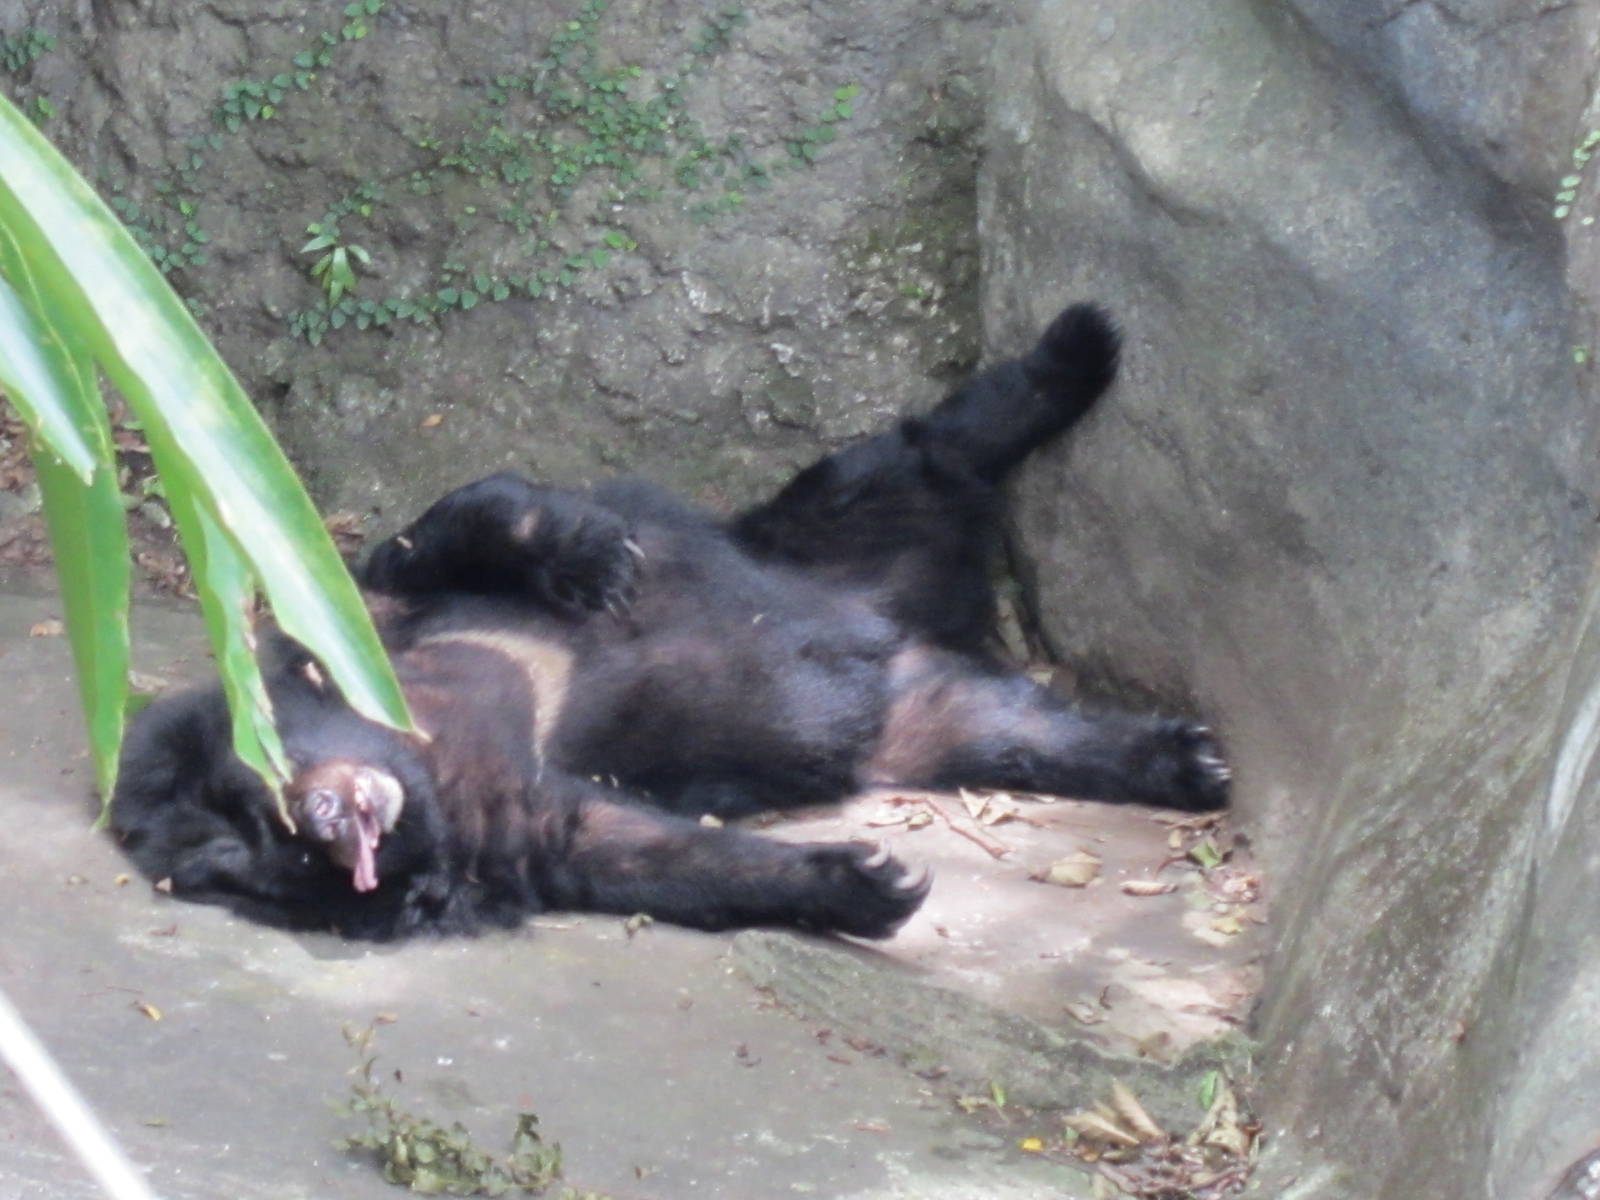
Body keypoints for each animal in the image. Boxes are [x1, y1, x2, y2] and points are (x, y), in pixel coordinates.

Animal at [108, 303, 1228, 942]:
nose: (338, 825)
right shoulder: (497, 819)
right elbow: (619, 847)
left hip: (825, 535)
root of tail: (908, 620)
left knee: (916, 453)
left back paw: (1077, 345)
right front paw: (862, 881)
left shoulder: (380, 626)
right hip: (920, 711)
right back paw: (1184, 760)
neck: (421, 749)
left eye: (253, 791)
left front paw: (592, 560)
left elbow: (438, 538)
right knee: (1019, 730)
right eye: (278, 865)